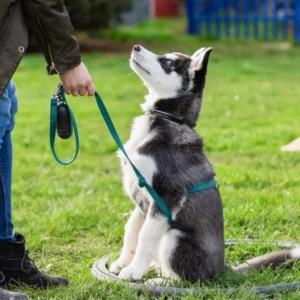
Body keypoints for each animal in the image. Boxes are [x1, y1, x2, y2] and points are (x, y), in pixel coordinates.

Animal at [110, 45, 300, 282]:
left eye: (168, 63)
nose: (136, 46)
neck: (167, 119)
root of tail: (221, 269)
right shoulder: (143, 197)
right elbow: (132, 229)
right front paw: (122, 262)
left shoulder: (167, 196)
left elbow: (145, 235)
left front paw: (133, 271)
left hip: (175, 238)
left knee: (191, 280)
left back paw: (161, 280)